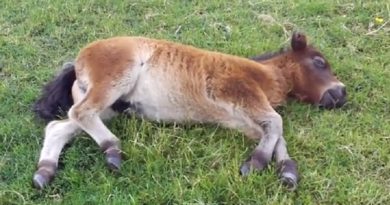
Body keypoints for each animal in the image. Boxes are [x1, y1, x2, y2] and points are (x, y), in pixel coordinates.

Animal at [32, 32, 346, 191]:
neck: (265, 74)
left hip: (110, 107)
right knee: (80, 113)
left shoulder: (239, 118)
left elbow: (274, 133)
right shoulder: (238, 93)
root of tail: (78, 61)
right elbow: (277, 122)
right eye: (319, 62)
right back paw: (112, 150)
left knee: (59, 127)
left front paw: (287, 171)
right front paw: (256, 163)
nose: (341, 93)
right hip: (115, 80)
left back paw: (44, 172)